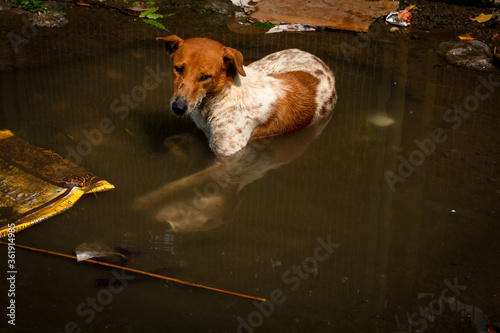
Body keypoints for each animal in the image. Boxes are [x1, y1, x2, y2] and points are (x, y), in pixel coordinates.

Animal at [156, 35, 336, 155]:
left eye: (206, 77)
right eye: (178, 68)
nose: (178, 108)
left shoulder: (226, 153)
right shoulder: (201, 133)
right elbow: (168, 142)